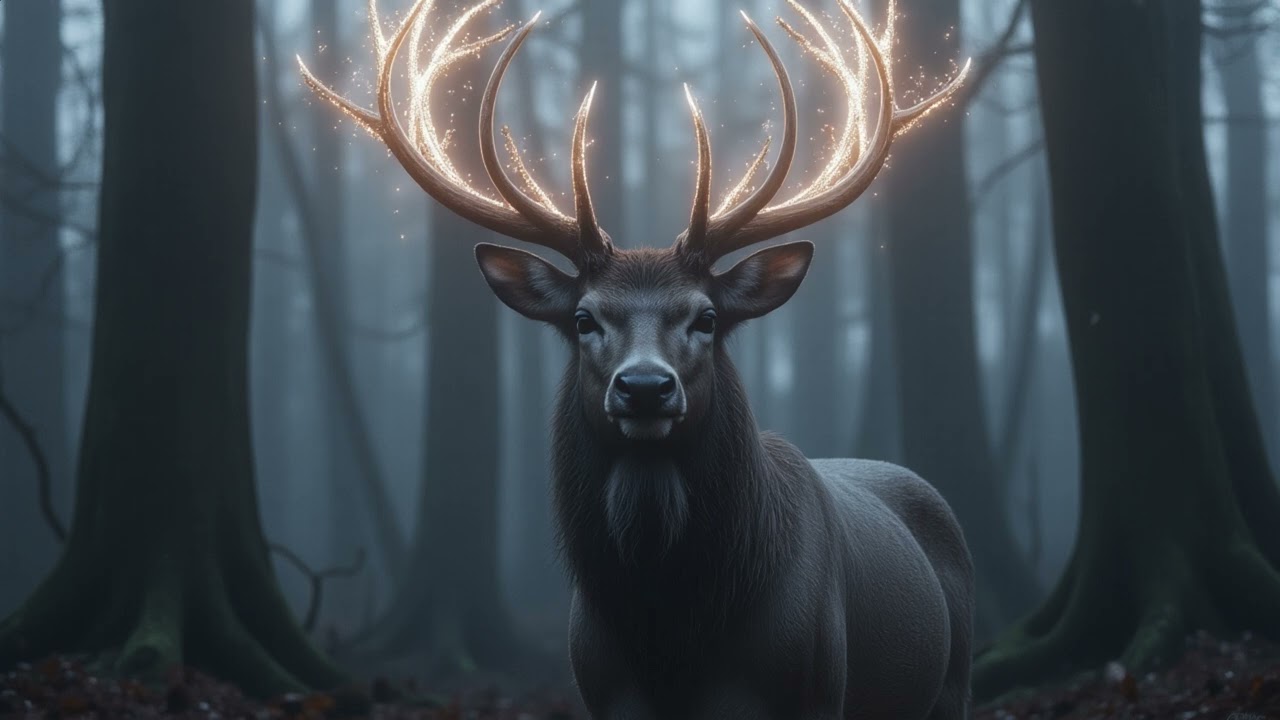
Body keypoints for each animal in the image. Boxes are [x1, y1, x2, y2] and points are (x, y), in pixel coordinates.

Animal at [301, 0, 973, 717]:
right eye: (583, 318)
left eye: (706, 317)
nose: (646, 387)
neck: (671, 643)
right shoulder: (603, 690)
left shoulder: (817, 685)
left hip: (951, 681)